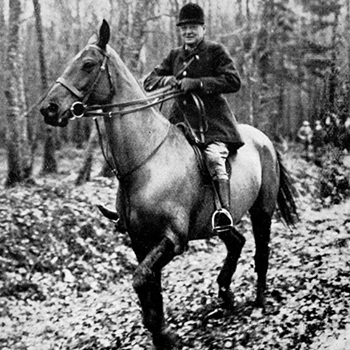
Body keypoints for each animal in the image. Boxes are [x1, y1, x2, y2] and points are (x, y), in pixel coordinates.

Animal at [40, 19, 298, 350]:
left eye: (87, 64)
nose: (49, 108)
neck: (147, 160)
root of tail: (263, 138)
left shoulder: (172, 239)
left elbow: (141, 279)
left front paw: (163, 333)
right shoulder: (141, 241)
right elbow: (150, 284)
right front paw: (160, 331)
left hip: (262, 210)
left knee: (261, 251)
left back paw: (259, 302)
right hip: (221, 222)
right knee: (236, 242)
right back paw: (226, 295)